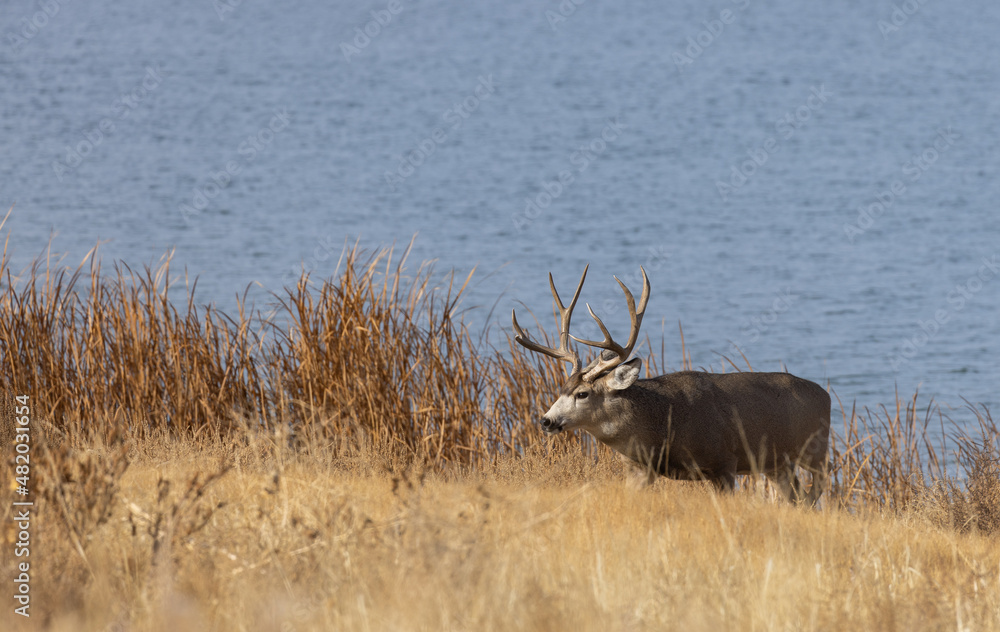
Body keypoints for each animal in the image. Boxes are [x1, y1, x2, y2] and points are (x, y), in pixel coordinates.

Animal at [512, 265, 830, 504]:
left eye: (582, 393)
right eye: (561, 389)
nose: (546, 420)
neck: (662, 426)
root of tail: (825, 395)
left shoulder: (724, 462)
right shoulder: (639, 470)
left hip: (816, 452)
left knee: (816, 492)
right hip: (779, 464)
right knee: (797, 497)